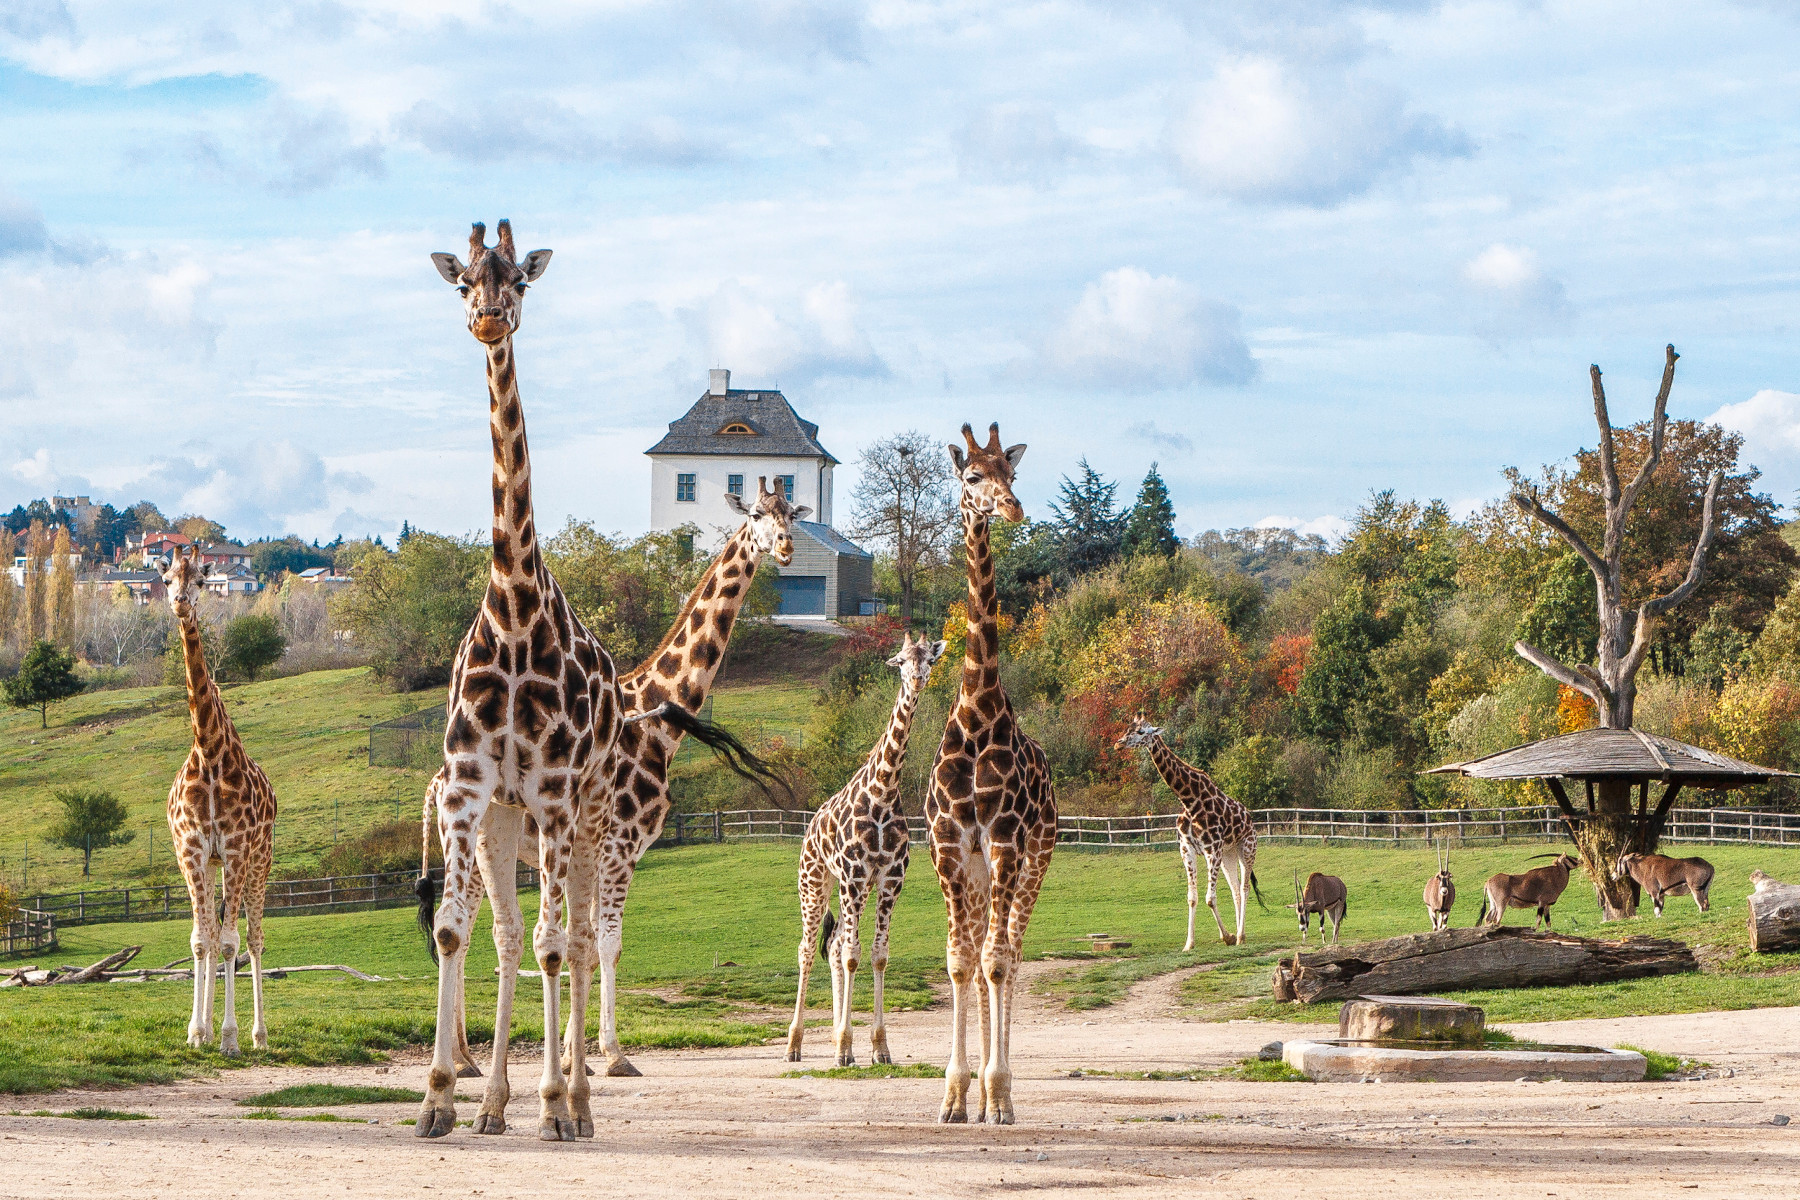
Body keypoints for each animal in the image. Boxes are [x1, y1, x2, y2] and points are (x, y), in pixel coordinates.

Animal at [792, 633, 950, 1065]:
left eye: (929, 659)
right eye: (900, 661)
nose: (917, 680)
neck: (883, 792)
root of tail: (809, 829)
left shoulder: (890, 879)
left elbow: (877, 954)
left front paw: (878, 1047)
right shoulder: (855, 876)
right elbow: (852, 955)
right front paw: (846, 1049)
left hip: (842, 888)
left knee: (831, 947)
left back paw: (832, 1037)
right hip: (815, 883)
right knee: (808, 949)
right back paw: (795, 1044)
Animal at [1116, 712, 1260, 949]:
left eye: (1141, 732)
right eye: (1126, 728)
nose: (1118, 744)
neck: (1190, 800)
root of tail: (1249, 818)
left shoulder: (1212, 850)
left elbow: (1210, 898)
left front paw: (1228, 937)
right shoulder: (1187, 849)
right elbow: (1192, 897)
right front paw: (1188, 944)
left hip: (1247, 848)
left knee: (1245, 888)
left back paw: (1240, 936)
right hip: (1228, 854)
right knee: (1235, 889)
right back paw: (1242, 935)